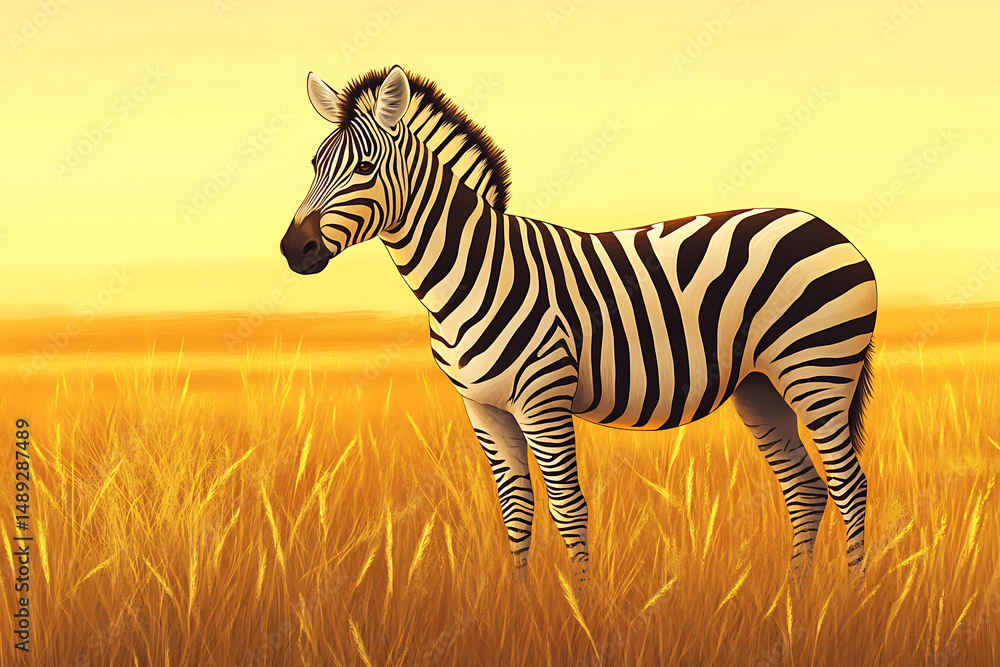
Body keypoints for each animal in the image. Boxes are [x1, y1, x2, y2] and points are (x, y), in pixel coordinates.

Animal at [280, 65, 877, 588]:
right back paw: (796, 599)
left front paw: (581, 611)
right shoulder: (483, 408)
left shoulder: (543, 398)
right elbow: (516, 510)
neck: (471, 273)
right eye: (312, 163)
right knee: (806, 490)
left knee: (850, 485)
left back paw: (849, 602)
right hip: (759, 385)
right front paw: (518, 609)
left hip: (818, 369)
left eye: (365, 168)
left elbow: (568, 508)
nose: (292, 250)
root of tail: (826, 227)